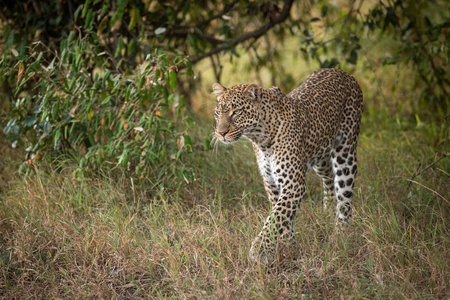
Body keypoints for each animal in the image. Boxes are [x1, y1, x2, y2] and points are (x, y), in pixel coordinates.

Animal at [213, 67, 364, 262]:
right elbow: (282, 215)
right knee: (330, 179)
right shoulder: (271, 182)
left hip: (345, 153)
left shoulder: (293, 184)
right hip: (321, 156)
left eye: (236, 112)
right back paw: (327, 211)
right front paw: (288, 245)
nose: (220, 133)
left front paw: (259, 250)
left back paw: (340, 234)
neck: (260, 138)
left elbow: (276, 217)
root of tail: (343, 72)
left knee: (344, 195)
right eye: (218, 113)